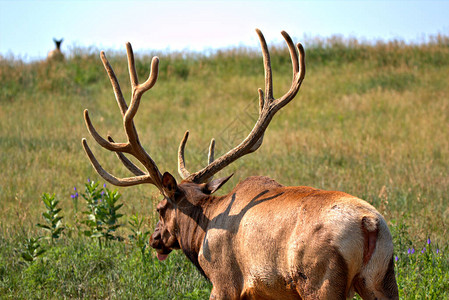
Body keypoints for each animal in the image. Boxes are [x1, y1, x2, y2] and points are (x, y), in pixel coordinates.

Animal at [82, 29, 398, 298]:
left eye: (160, 208)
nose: (154, 238)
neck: (201, 233)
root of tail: (369, 225)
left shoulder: (224, 282)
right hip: (382, 279)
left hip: (320, 281)